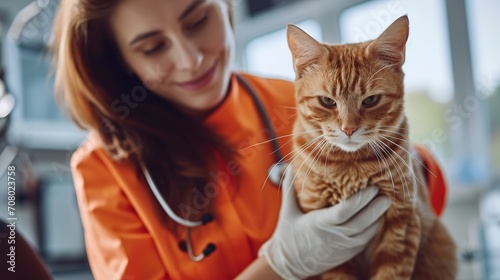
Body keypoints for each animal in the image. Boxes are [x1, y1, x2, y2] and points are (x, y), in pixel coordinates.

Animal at [286, 15, 458, 280]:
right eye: (327, 101)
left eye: (371, 100)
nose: (348, 129)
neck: (350, 167)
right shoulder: (330, 244)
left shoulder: (402, 222)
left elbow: (391, 272)